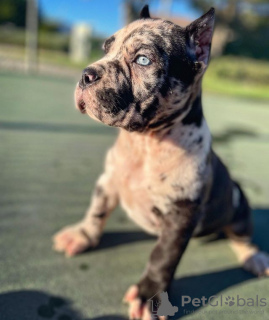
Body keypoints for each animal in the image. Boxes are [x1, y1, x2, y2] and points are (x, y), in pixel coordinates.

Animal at [52, 5, 268, 320]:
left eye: (143, 60)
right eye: (105, 49)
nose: (86, 74)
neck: (145, 144)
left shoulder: (180, 215)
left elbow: (162, 257)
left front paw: (149, 296)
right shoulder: (108, 181)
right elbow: (97, 210)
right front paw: (83, 234)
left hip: (239, 206)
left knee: (242, 236)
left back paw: (254, 257)